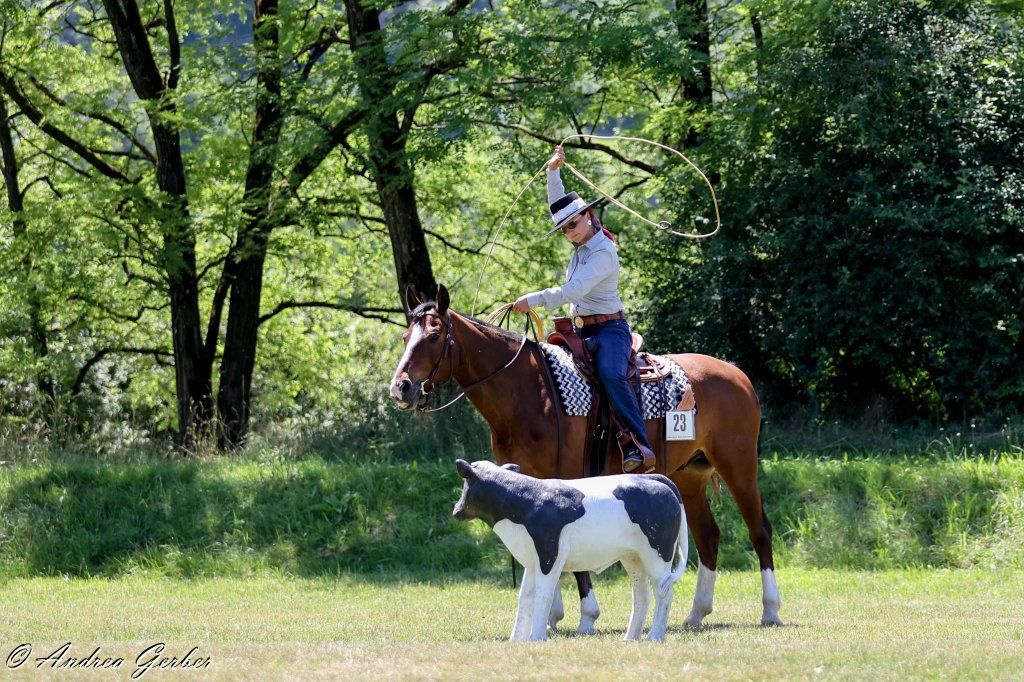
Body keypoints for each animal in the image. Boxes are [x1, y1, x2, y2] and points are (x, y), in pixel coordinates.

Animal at [389, 285, 782, 632]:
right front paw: (551, 616)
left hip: (739, 465)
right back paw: (697, 613)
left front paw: (586, 615)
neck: (526, 390)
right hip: (689, 477)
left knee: (759, 530)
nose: (401, 388)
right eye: (407, 335)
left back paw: (771, 610)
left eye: (435, 336)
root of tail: (735, 372)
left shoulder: (569, 475)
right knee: (708, 537)